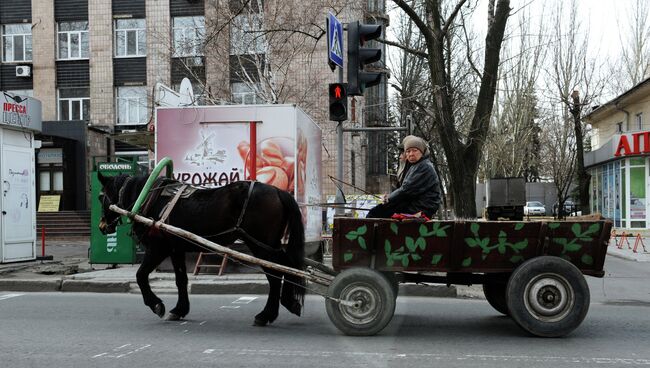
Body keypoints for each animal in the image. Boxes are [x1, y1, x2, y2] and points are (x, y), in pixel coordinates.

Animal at [96, 174, 306, 326]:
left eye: (100, 196)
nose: (102, 226)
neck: (149, 197)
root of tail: (277, 191)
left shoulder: (158, 249)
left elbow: (140, 275)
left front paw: (156, 304)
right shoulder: (176, 249)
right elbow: (181, 280)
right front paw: (179, 309)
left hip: (260, 245)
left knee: (276, 274)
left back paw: (267, 314)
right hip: (269, 244)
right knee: (286, 268)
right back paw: (286, 303)